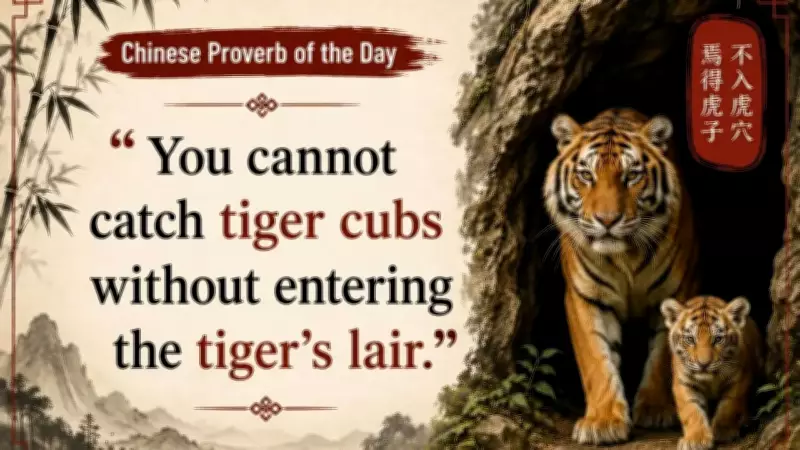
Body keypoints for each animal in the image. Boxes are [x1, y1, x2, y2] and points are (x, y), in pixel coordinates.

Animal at [543, 108, 699, 445]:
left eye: (632, 176)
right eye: (586, 175)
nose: (607, 220)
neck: (626, 256)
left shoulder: (677, 293)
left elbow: (664, 357)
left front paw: (656, 410)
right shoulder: (585, 297)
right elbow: (596, 359)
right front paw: (602, 422)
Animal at [660, 296, 764, 450]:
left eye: (718, 339)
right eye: (690, 339)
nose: (703, 364)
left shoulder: (740, 379)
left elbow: (729, 406)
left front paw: (723, 432)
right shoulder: (684, 382)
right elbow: (691, 410)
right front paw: (696, 440)